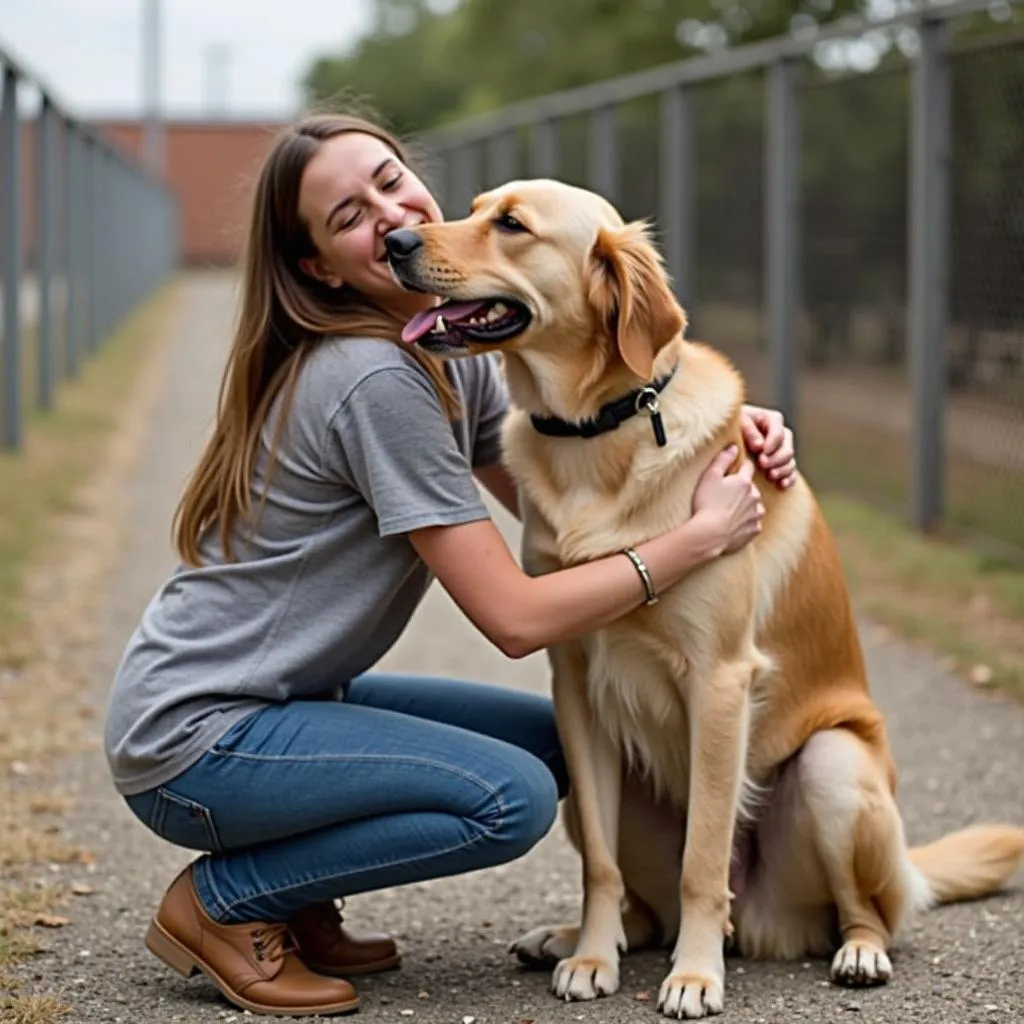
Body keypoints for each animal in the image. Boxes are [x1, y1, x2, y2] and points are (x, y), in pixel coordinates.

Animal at [385, 180, 1024, 1019]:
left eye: (513, 225)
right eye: (474, 206)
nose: (394, 242)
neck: (599, 432)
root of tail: (761, 923)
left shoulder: (719, 681)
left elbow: (702, 863)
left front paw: (694, 976)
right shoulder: (574, 687)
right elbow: (601, 867)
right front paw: (593, 958)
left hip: (832, 765)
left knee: (862, 910)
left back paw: (853, 952)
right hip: (585, 782)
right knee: (644, 907)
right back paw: (571, 938)